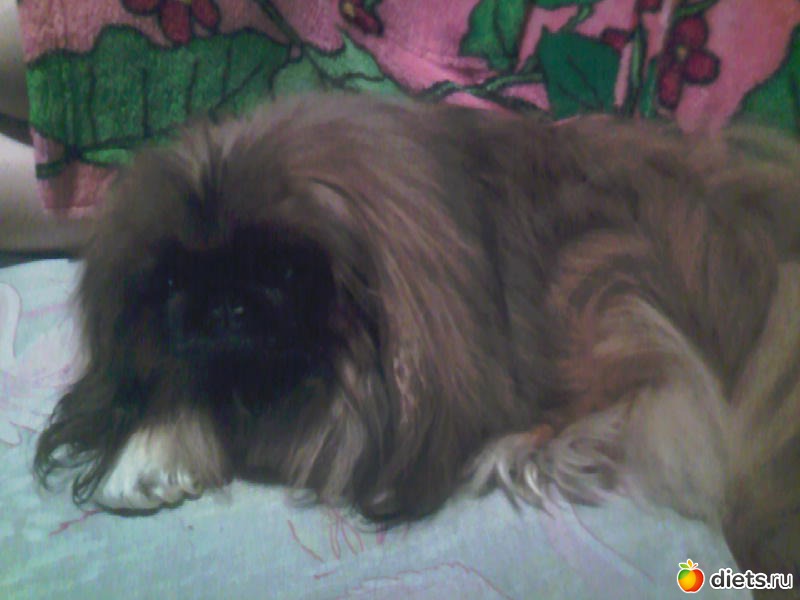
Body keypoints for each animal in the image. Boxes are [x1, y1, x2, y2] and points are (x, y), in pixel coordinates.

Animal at [34, 94, 800, 575]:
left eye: (283, 270)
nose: (224, 306)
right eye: (173, 281)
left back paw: (526, 447)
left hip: (589, 282)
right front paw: (147, 451)